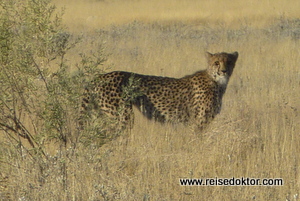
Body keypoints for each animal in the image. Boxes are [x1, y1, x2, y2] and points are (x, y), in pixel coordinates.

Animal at [81, 51, 238, 130]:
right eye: (216, 62)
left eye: (229, 62)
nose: (224, 71)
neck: (216, 81)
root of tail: (100, 76)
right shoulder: (198, 122)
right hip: (122, 116)